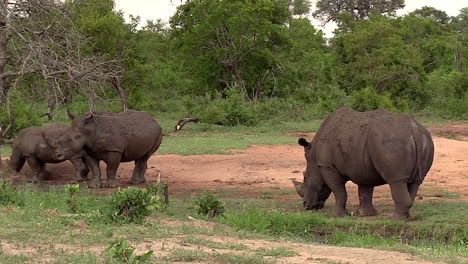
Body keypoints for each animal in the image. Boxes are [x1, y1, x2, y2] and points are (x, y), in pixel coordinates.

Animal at [296, 107, 436, 221]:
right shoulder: (362, 166)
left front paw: (337, 215)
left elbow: (338, 190)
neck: (313, 157)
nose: (305, 205)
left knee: (396, 181)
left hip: (392, 142)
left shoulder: (327, 166)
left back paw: (396, 219)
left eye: (305, 177)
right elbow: (365, 190)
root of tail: (413, 129)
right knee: (415, 182)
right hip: (425, 140)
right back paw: (406, 217)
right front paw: (365, 214)